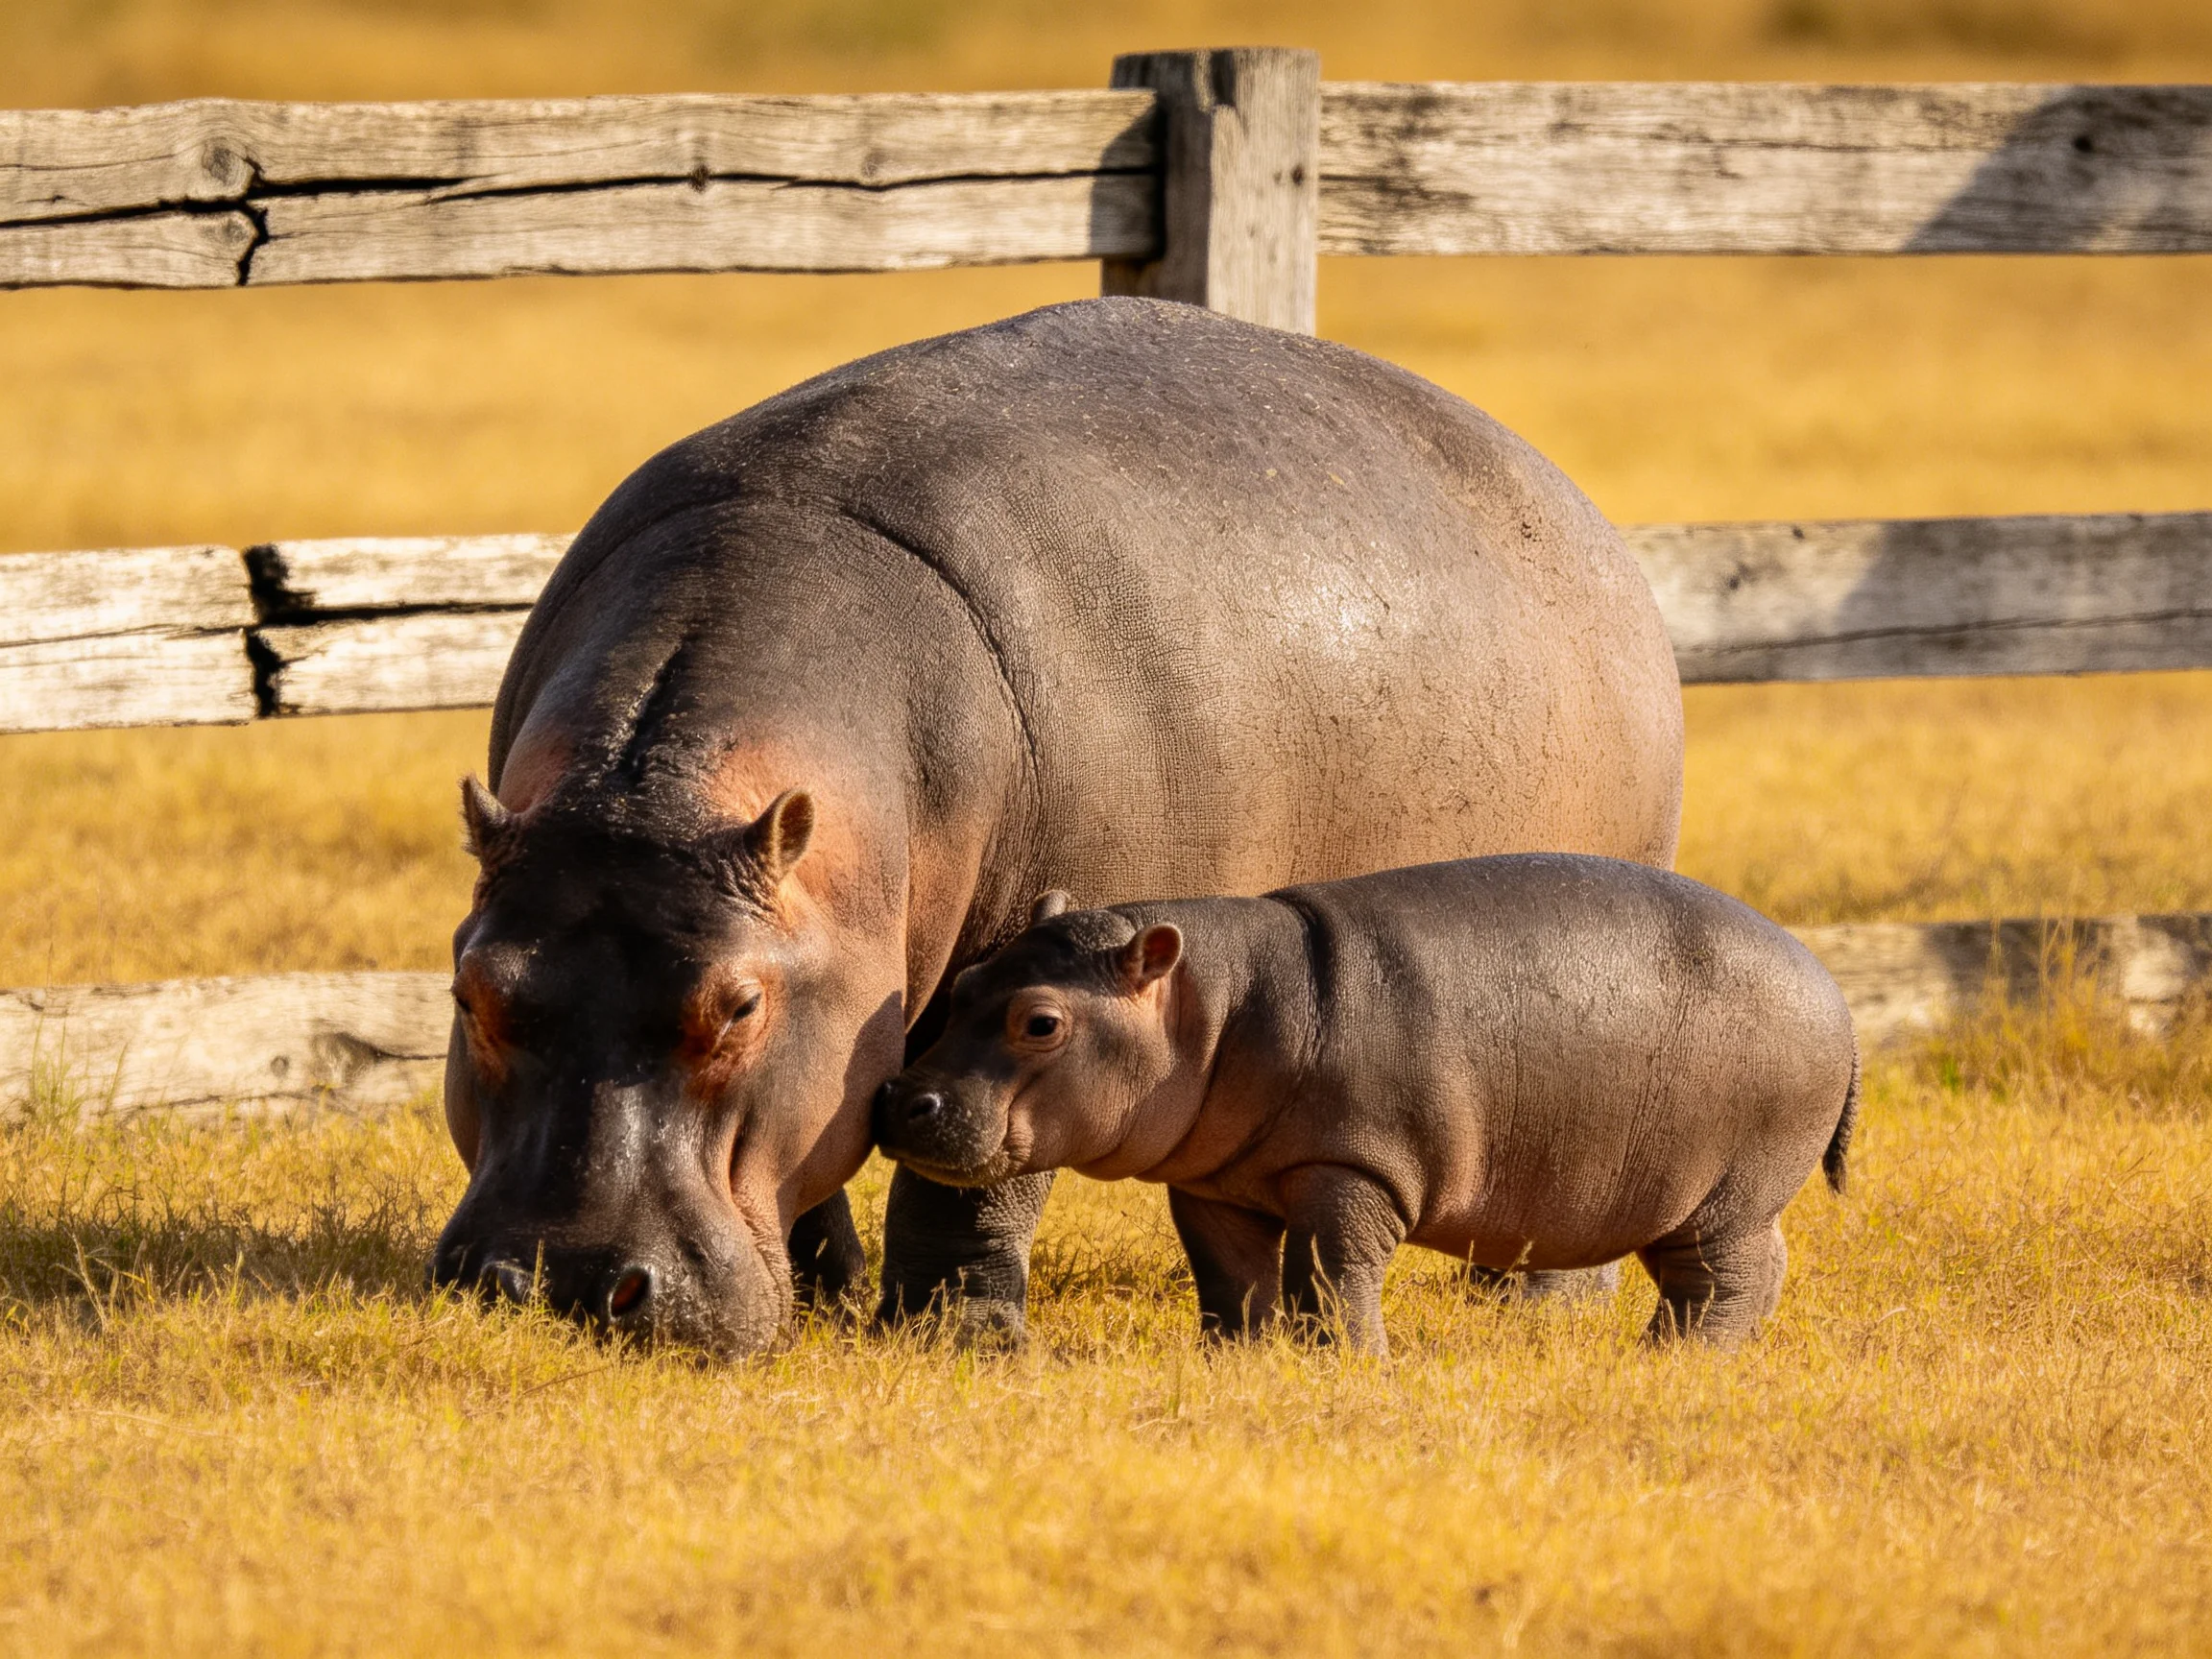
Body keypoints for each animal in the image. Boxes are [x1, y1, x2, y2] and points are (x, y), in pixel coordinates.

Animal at [429, 296, 1683, 1354]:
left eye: (737, 1007)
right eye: (471, 992)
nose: (561, 1287)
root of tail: (1567, 500)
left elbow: (975, 1164)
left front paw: (957, 1339)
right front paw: (829, 1298)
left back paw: (1541, 1309)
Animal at [875, 859, 1860, 1352]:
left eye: (1040, 1021)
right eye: (966, 981)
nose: (899, 1095)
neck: (1218, 1005)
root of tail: (1835, 990)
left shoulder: (1348, 1168)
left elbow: (1332, 1270)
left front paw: (1348, 1361)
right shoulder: (1217, 1183)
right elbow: (1229, 1275)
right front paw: (1235, 1359)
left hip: (1731, 1193)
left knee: (1736, 1275)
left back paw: (1675, 1358)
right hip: (1684, 1193)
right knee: (1721, 1274)